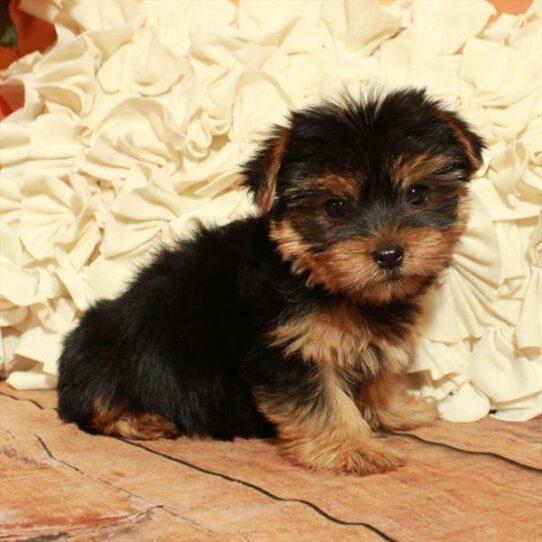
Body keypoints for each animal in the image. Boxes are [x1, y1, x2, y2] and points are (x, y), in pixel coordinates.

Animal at [58, 89, 484, 476]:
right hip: (105, 351)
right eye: (334, 207)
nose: (390, 254)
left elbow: (380, 373)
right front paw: (354, 446)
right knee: (93, 406)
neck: (315, 276)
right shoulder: (288, 348)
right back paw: (140, 419)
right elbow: (323, 400)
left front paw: (396, 409)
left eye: (418, 193)